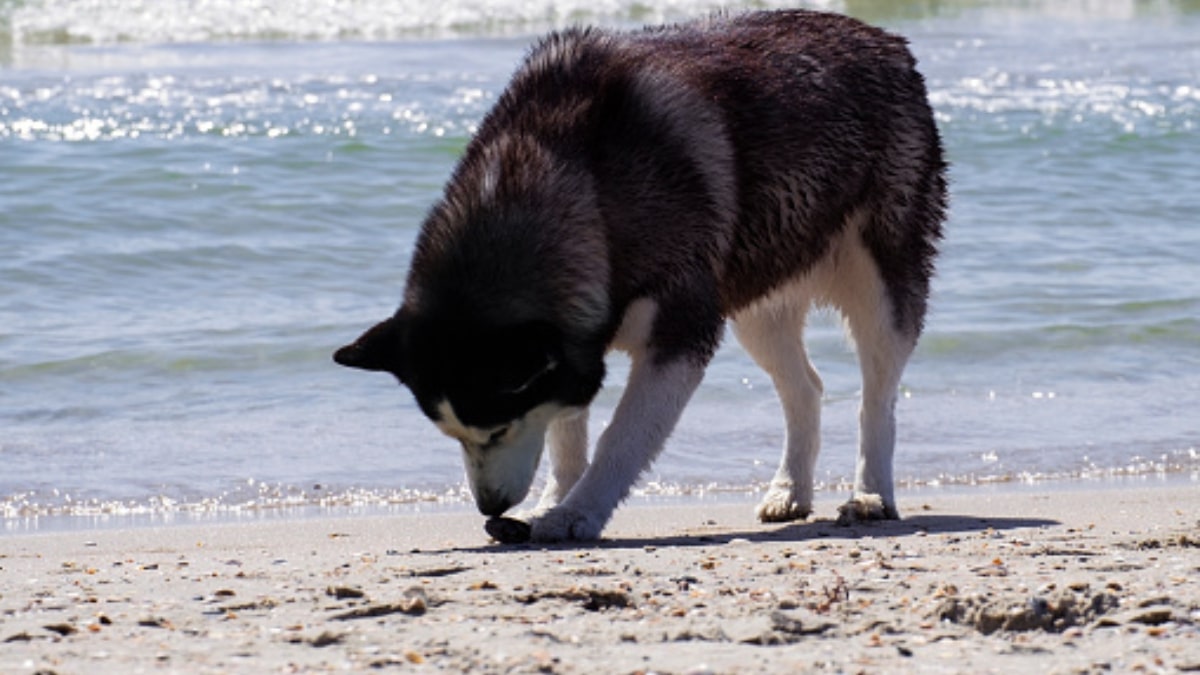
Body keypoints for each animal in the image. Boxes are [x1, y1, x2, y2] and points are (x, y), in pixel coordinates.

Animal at [331, 10, 945, 540]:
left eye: (499, 429)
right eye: (451, 434)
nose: (490, 508)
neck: (587, 193)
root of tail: (880, 35)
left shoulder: (679, 333)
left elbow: (620, 438)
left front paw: (577, 513)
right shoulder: (576, 342)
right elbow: (566, 429)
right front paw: (553, 500)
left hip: (878, 284)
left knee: (877, 395)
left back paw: (871, 494)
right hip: (755, 300)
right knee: (805, 388)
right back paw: (790, 489)